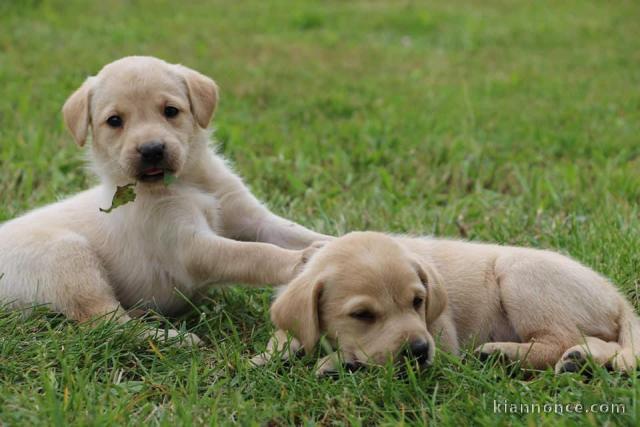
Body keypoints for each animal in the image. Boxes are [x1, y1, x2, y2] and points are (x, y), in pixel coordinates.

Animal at [0, 56, 330, 344]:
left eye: (171, 111)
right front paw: (301, 260)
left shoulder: (252, 217)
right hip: (68, 259)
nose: (152, 150)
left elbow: (292, 232)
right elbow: (252, 253)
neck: (188, 183)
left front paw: (330, 243)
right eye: (114, 121)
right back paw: (175, 339)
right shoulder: (187, 246)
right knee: (106, 323)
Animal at [262, 232, 640, 376]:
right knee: (599, 343)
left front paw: (338, 361)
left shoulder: (442, 340)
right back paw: (578, 360)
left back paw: (500, 353)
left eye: (418, 301)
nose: (418, 351)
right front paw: (268, 355)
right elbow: (287, 331)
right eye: (362, 315)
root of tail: (615, 296)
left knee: (560, 338)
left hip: (518, 274)